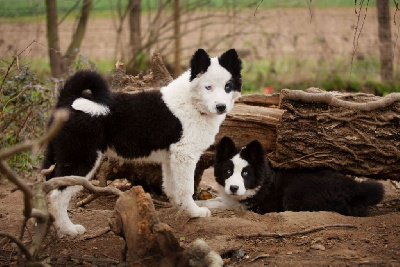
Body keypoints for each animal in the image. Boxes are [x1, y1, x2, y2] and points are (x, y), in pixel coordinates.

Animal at [44, 48, 244, 237]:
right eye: (208, 87)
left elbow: (172, 187)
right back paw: (68, 229)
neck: (191, 102)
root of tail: (68, 100)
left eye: (228, 87)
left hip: (59, 157)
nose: (221, 107)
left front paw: (181, 208)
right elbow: (186, 188)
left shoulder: (172, 158)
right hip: (81, 160)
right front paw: (194, 212)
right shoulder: (185, 155)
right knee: (57, 196)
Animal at [198, 137, 386, 217]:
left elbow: (221, 205)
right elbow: (215, 200)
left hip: (293, 194)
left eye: (246, 173)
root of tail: (353, 187)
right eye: (228, 171)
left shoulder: (249, 206)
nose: (233, 188)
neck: (261, 183)